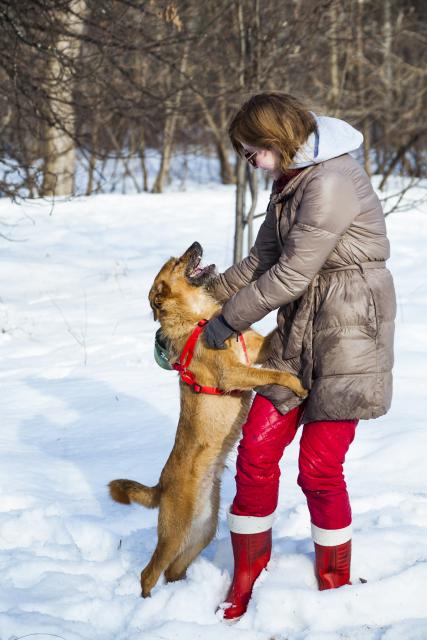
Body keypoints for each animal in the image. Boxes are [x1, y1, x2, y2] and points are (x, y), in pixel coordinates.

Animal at [108, 240, 306, 596]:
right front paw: (297, 384)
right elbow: (273, 375)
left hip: (202, 530)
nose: (196, 244)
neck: (199, 317)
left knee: (173, 570)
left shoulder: (255, 349)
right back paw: (146, 602)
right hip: (175, 532)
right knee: (149, 572)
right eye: (176, 262)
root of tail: (161, 485)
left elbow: (271, 339)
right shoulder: (234, 373)